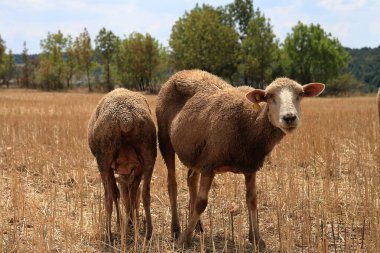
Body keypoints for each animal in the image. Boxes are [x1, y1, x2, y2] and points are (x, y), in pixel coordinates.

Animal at [87, 88, 156, 241]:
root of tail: (126, 117)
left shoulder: (113, 169)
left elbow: (116, 193)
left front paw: (120, 222)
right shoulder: (136, 169)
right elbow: (131, 194)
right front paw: (130, 221)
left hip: (104, 160)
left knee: (108, 196)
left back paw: (109, 234)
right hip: (149, 155)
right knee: (144, 194)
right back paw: (148, 231)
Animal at [156, 69, 326, 249]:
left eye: (300, 94)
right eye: (269, 96)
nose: (289, 118)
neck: (251, 124)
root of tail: (181, 72)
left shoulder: (250, 166)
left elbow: (252, 200)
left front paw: (257, 239)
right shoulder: (209, 165)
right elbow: (202, 203)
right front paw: (184, 240)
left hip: (195, 153)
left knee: (191, 180)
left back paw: (197, 225)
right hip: (165, 140)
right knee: (172, 184)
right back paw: (176, 229)